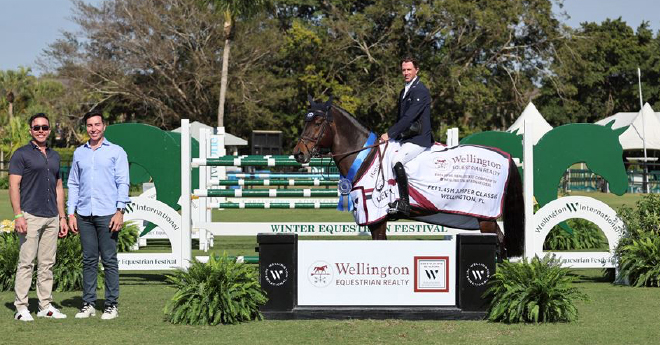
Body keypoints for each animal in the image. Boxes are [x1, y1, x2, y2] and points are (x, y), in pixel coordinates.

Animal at [294, 95, 524, 256]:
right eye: (305, 121)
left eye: (317, 123)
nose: (298, 153)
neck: (366, 156)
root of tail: (506, 156)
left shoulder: (377, 217)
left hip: (485, 217)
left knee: (500, 246)